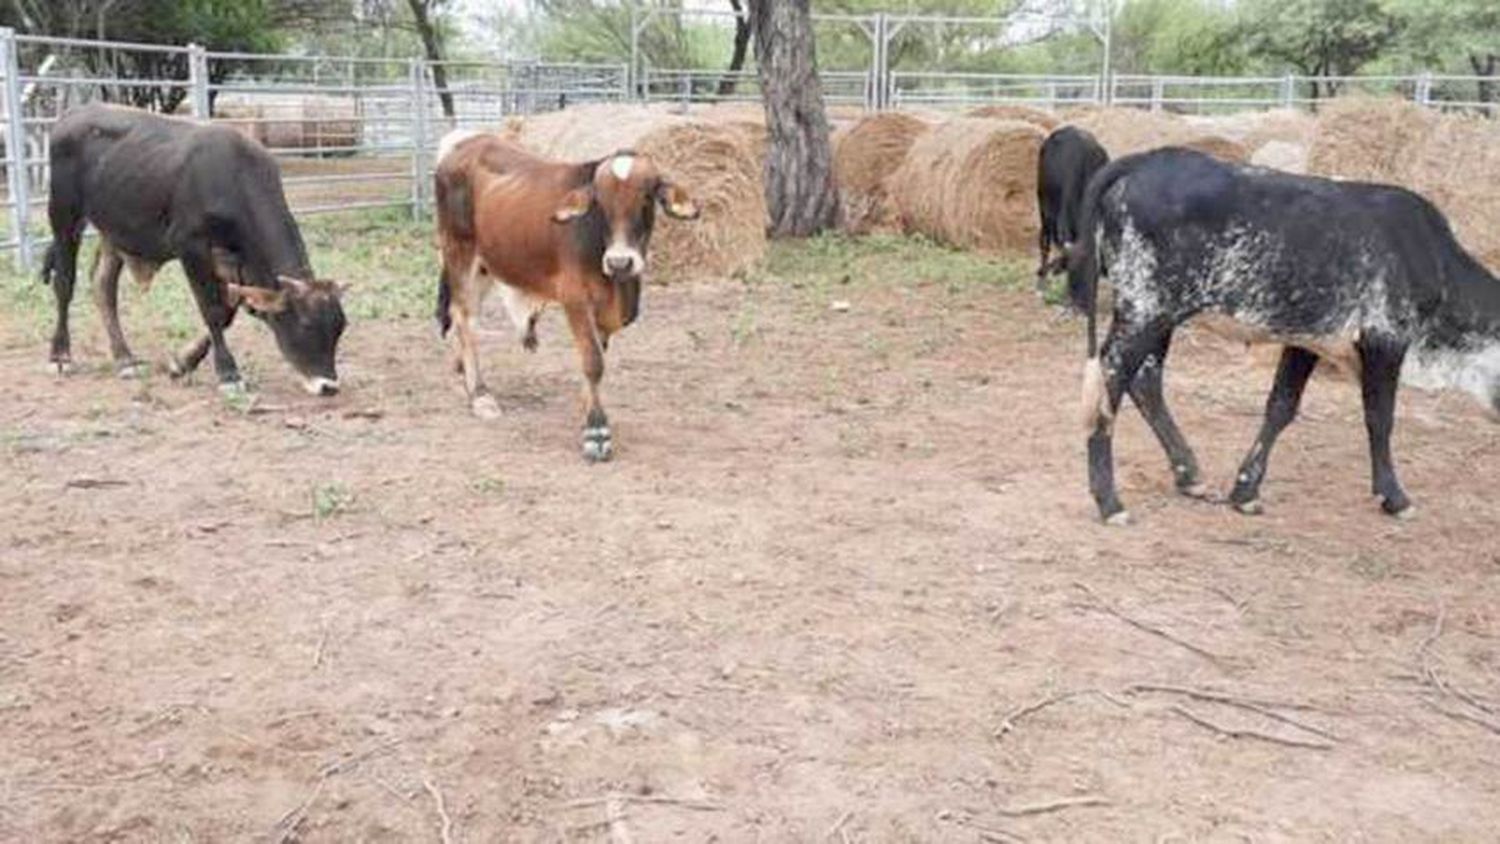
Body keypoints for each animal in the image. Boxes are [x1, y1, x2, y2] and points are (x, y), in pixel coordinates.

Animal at [43, 101, 348, 395]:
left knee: (103, 287)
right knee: (64, 285)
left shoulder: (234, 263)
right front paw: (228, 373)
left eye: (340, 326)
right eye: (305, 324)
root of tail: (73, 113)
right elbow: (212, 309)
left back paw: (125, 359)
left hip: (114, 232)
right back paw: (60, 355)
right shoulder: (190, 246)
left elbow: (226, 312)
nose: (328, 386)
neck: (233, 179)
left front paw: (182, 362)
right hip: (64, 216)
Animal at [429, 130, 696, 461]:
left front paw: (585, 410)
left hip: (486, 264)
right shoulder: (575, 299)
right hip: (459, 251)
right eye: (600, 202)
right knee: (465, 317)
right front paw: (596, 430)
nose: (620, 262)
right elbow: (593, 362)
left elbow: (593, 358)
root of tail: (463, 140)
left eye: (648, 196)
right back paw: (480, 394)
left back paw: (462, 372)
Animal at [1068, 148, 1500, 524]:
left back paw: (1189, 476)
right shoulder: (1385, 338)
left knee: (1144, 381)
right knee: (1110, 381)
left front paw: (1245, 490)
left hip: (1159, 316)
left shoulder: (1308, 340)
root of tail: (1146, 159)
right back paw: (1110, 501)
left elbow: (1281, 407)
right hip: (1145, 310)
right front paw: (1394, 497)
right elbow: (1380, 417)